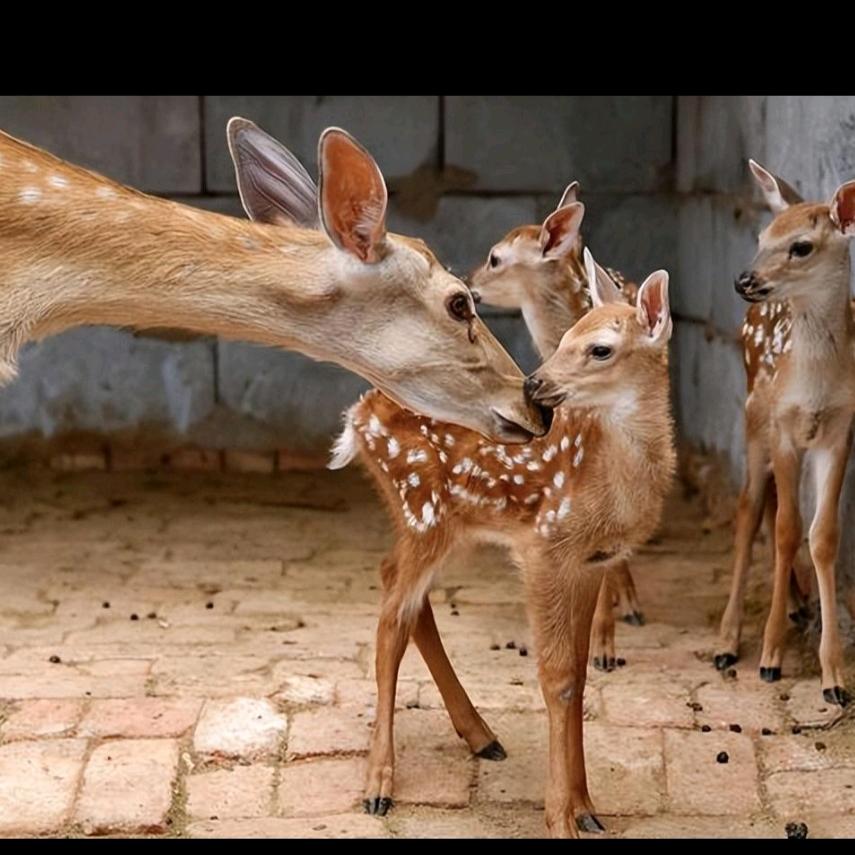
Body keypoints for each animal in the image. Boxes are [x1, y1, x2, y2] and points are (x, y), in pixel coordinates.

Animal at [330, 234, 675, 837]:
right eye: (565, 334)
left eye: (600, 348)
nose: (535, 386)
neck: (611, 483)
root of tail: (357, 417)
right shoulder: (544, 546)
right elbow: (556, 679)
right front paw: (561, 817)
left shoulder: (591, 561)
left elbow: (579, 676)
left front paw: (588, 808)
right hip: (422, 506)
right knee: (392, 616)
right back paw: (378, 785)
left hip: (444, 521)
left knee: (400, 589)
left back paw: (481, 736)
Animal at [714, 159, 855, 707]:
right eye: (761, 235)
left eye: (801, 246)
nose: (743, 279)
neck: (815, 384)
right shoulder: (783, 428)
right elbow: (786, 529)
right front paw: (770, 656)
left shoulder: (839, 432)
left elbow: (823, 535)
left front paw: (834, 676)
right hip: (754, 418)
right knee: (751, 508)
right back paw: (728, 641)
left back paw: (797, 605)